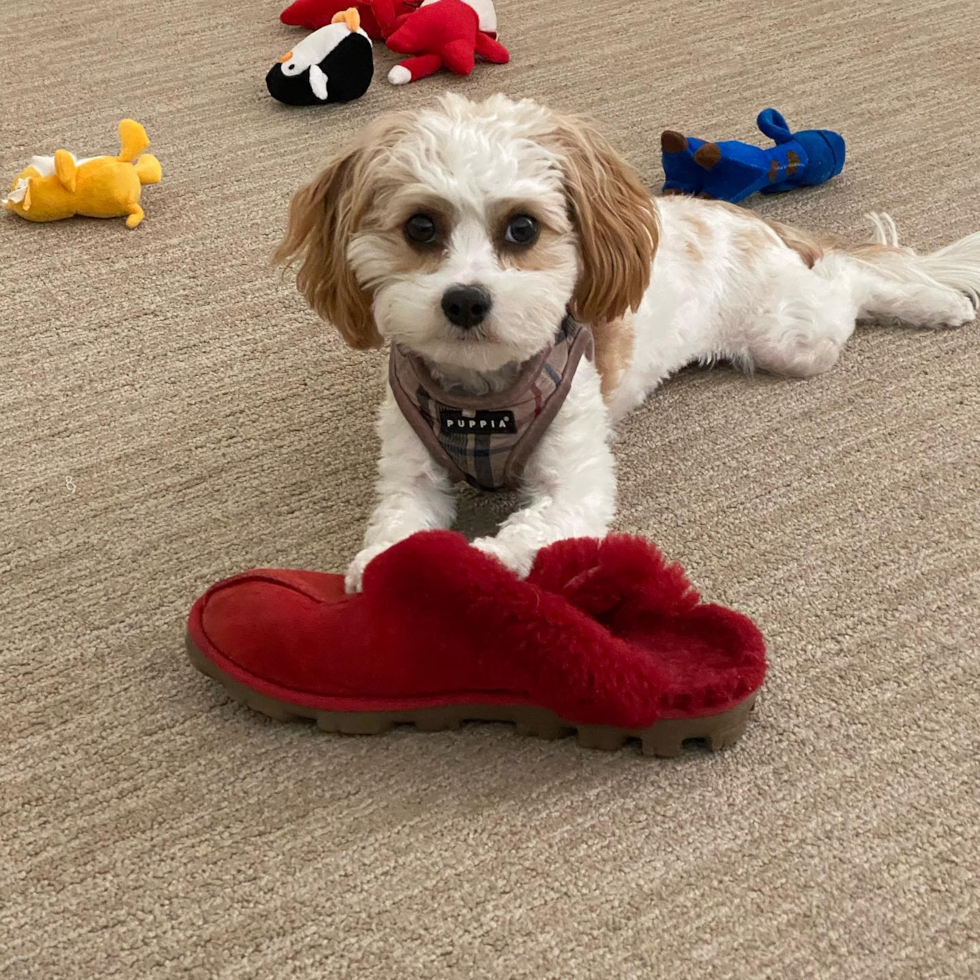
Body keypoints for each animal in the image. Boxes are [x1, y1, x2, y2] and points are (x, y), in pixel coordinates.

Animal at [274, 95, 980, 592]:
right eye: (421, 227)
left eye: (523, 228)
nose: (466, 299)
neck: (478, 402)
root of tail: (742, 215)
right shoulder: (410, 473)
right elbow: (399, 520)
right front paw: (381, 563)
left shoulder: (573, 482)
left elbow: (528, 532)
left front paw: (471, 570)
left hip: (793, 334)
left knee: (850, 275)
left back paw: (934, 303)